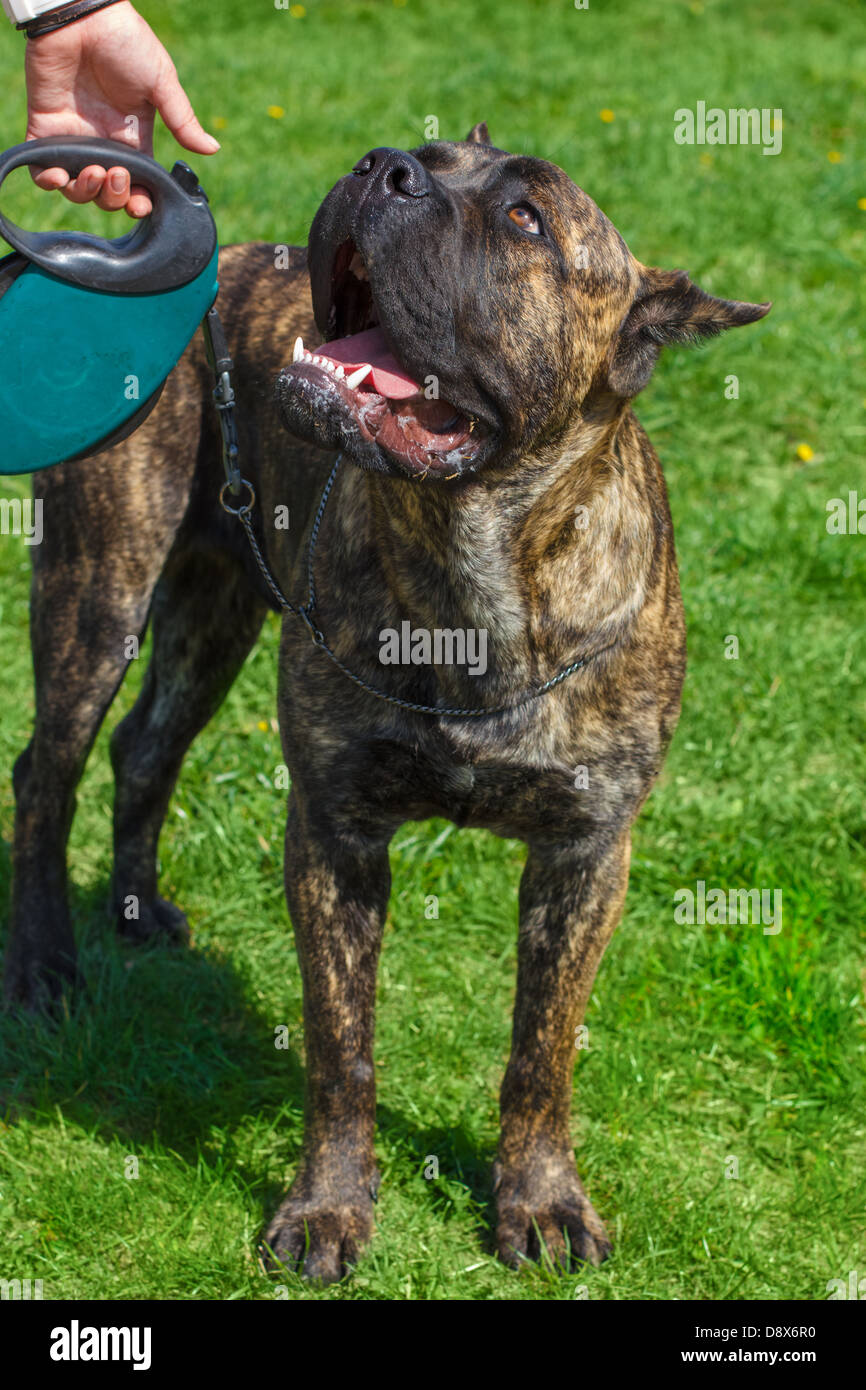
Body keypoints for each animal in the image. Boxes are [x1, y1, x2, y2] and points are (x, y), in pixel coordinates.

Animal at [3, 127, 767, 1278]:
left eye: (525, 218)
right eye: (431, 154)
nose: (383, 166)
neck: (470, 567)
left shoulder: (586, 853)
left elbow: (541, 1049)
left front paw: (540, 1199)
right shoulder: (335, 831)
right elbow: (340, 1041)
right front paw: (327, 1208)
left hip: (214, 606)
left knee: (147, 746)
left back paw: (138, 912)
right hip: (102, 586)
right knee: (48, 772)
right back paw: (47, 967)